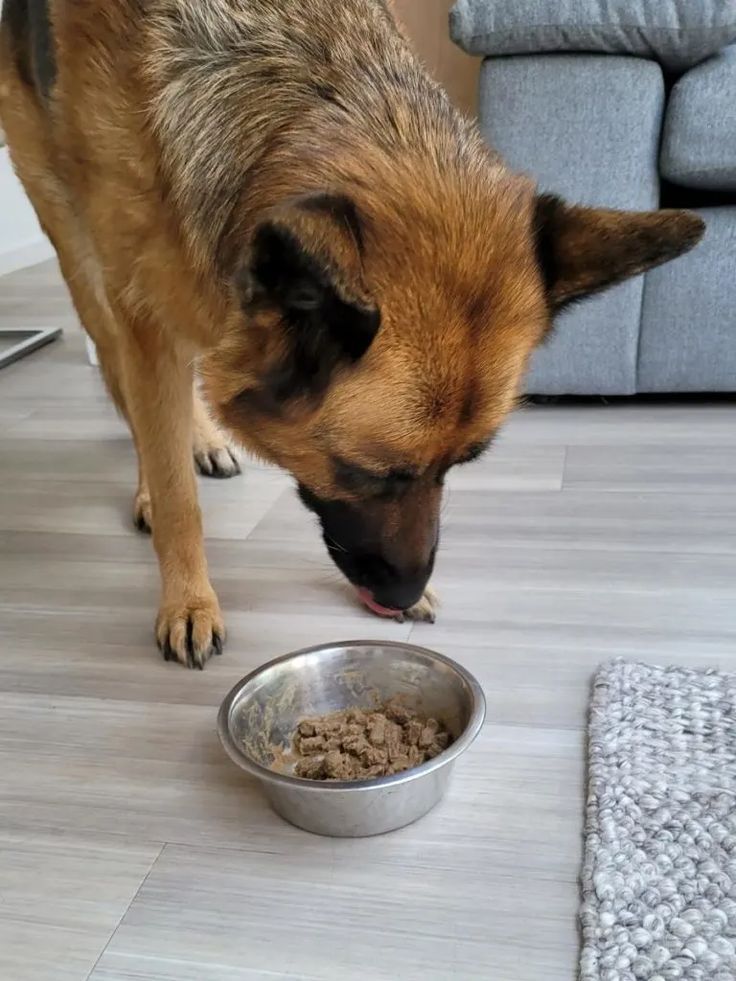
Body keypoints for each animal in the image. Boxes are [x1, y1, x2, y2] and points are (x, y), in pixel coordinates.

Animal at [0, 1, 700, 668]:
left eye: (460, 466)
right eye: (369, 473)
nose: (403, 595)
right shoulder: (142, 310)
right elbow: (176, 491)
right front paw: (188, 600)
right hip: (82, 259)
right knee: (123, 383)